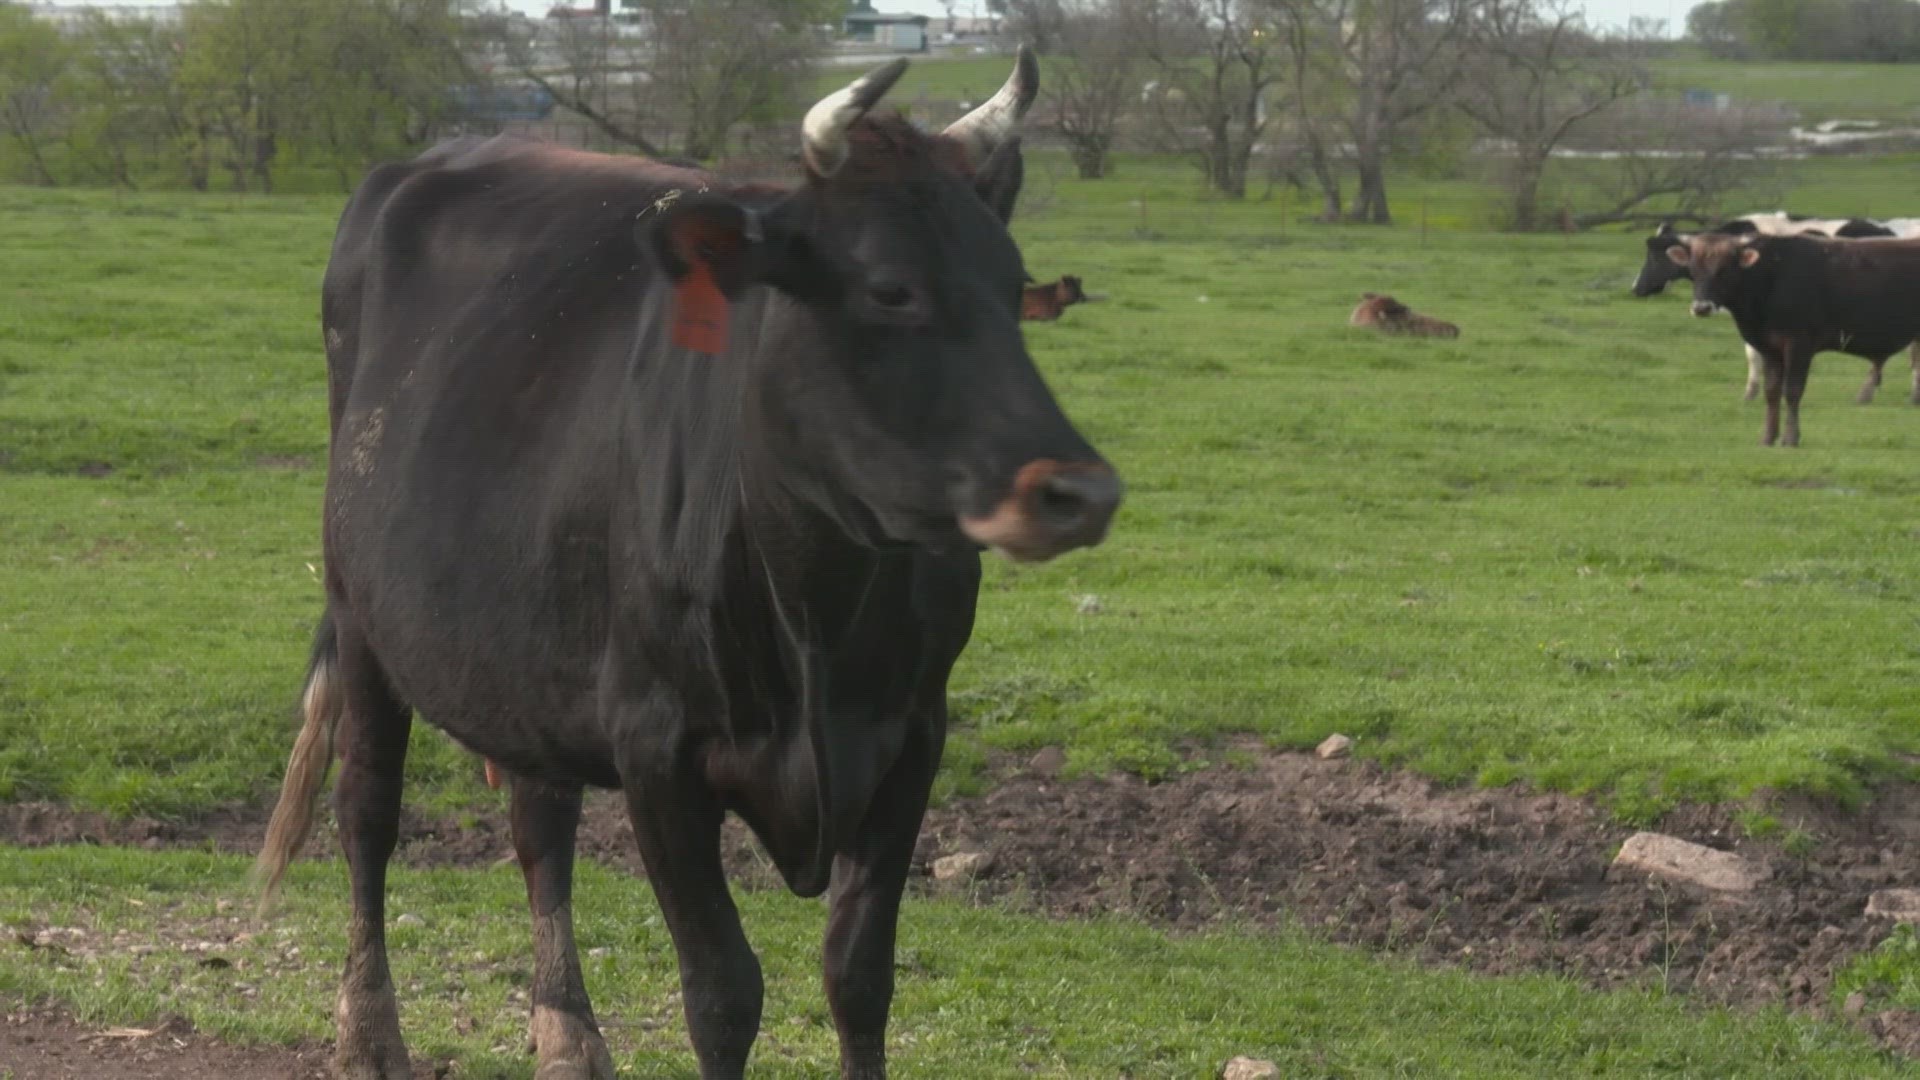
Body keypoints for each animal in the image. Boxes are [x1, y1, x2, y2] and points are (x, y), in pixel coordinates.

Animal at [257, 50, 1121, 1076]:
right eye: (890, 289)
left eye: (1012, 288)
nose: (1078, 490)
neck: (819, 605)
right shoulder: (656, 747)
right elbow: (722, 993)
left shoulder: (913, 733)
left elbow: (859, 974)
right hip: (364, 620)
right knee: (368, 812)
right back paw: (370, 1030)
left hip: (529, 648)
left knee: (540, 829)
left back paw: (567, 1033)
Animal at [1666, 228, 1920, 443]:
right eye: (1693, 271)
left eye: (1724, 270)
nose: (1701, 307)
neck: (1771, 276)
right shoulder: (1768, 348)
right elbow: (1771, 392)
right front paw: (1768, 437)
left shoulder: (1799, 345)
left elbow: (1792, 391)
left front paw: (1790, 438)